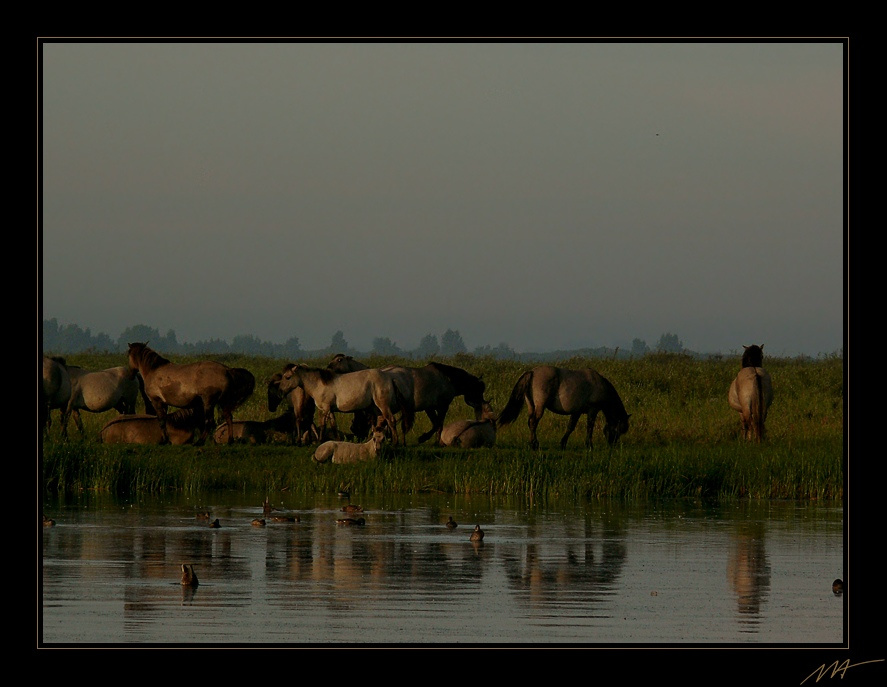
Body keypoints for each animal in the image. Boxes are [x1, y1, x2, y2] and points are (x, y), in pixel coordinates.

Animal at [127, 342, 255, 445]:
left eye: (128, 354)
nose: (131, 375)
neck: (153, 370)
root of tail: (227, 370)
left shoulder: (156, 401)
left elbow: (162, 421)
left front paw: (164, 441)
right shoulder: (164, 403)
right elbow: (164, 420)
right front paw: (167, 440)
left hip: (208, 402)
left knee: (209, 422)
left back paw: (199, 442)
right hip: (223, 402)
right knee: (228, 418)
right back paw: (229, 441)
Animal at [277, 364, 413, 445]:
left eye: (288, 377)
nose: (280, 392)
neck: (319, 384)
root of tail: (390, 378)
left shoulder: (325, 408)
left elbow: (322, 425)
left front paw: (320, 441)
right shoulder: (330, 410)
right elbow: (333, 425)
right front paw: (337, 440)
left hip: (383, 405)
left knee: (391, 420)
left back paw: (395, 442)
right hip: (376, 408)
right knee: (380, 422)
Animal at [327, 355, 487, 444]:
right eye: (479, 390)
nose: (482, 405)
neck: (446, 378)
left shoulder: (429, 407)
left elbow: (435, 423)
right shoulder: (442, 406)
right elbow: (438, 424)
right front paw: (428, 439)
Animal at [497, 365, 630, 450]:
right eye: (619, 429)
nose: (612, 444)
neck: (599, 384)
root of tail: (532, 372)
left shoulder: (577, 412)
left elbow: (570, 427)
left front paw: (563, 443)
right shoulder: (593, 410)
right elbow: (589, 427)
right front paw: (589, 445)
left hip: (531, 405)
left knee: (530, 422)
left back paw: (532, 443)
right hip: (540, 407)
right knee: (534, 422)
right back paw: (535, 444)